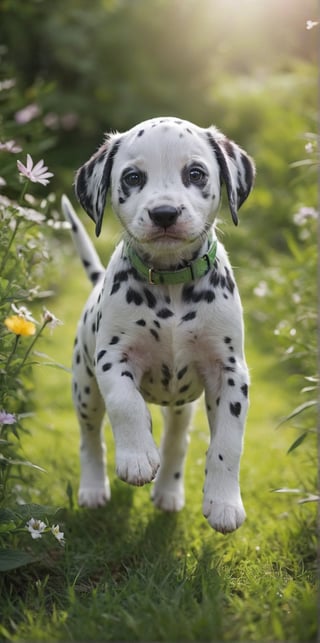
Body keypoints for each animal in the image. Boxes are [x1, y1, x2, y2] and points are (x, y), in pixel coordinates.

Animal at [62, 114, 255, 532]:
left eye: (196, 173)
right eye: (133, 177)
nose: (164, 213)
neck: (171, 284)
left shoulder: (231, 372)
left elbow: (228, 444)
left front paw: (224, 502)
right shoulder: (111, 358)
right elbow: (126, 404)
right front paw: (136, 456)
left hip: (183, 407)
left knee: (176, 443)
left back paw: (168, 490)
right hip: (84, 386)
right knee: (90, 437)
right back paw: (94, 487)